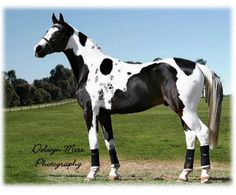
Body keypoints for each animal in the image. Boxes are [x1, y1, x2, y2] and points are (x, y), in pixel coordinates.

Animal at [33, 13, 223, 183]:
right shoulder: (104, 113)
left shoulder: (90, 111)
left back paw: (205, 175)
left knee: (203, 132)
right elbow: (109, 141)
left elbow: (93, 140)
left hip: (186, 110)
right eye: (48, 30)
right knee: (190, 137)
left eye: (57, 32)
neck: (91, 68)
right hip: (182, 111)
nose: (37, 49)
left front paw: (92, 173)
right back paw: (184, 175)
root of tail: (197, 65)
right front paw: (113, 173)